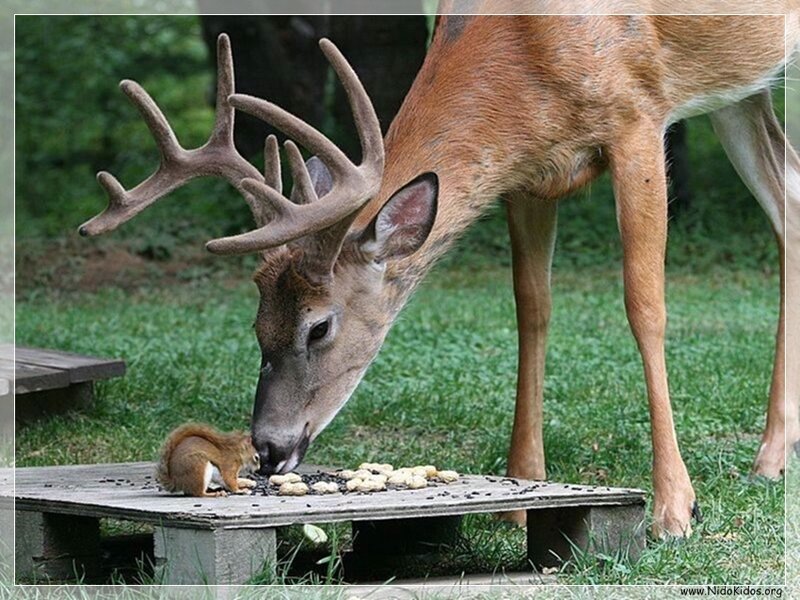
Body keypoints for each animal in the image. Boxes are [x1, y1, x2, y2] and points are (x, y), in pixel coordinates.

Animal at [79, 14, 799, 538]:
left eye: (319, 327)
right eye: (258, 325)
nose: (270, 448)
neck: (529, 49)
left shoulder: (638, 120)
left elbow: (644, 307)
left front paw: (675, 508)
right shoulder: (529, 170)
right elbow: (531, 309)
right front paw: (521, 494)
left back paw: (761, 458)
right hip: (743, 87)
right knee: (788, 201)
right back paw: (772, 456)